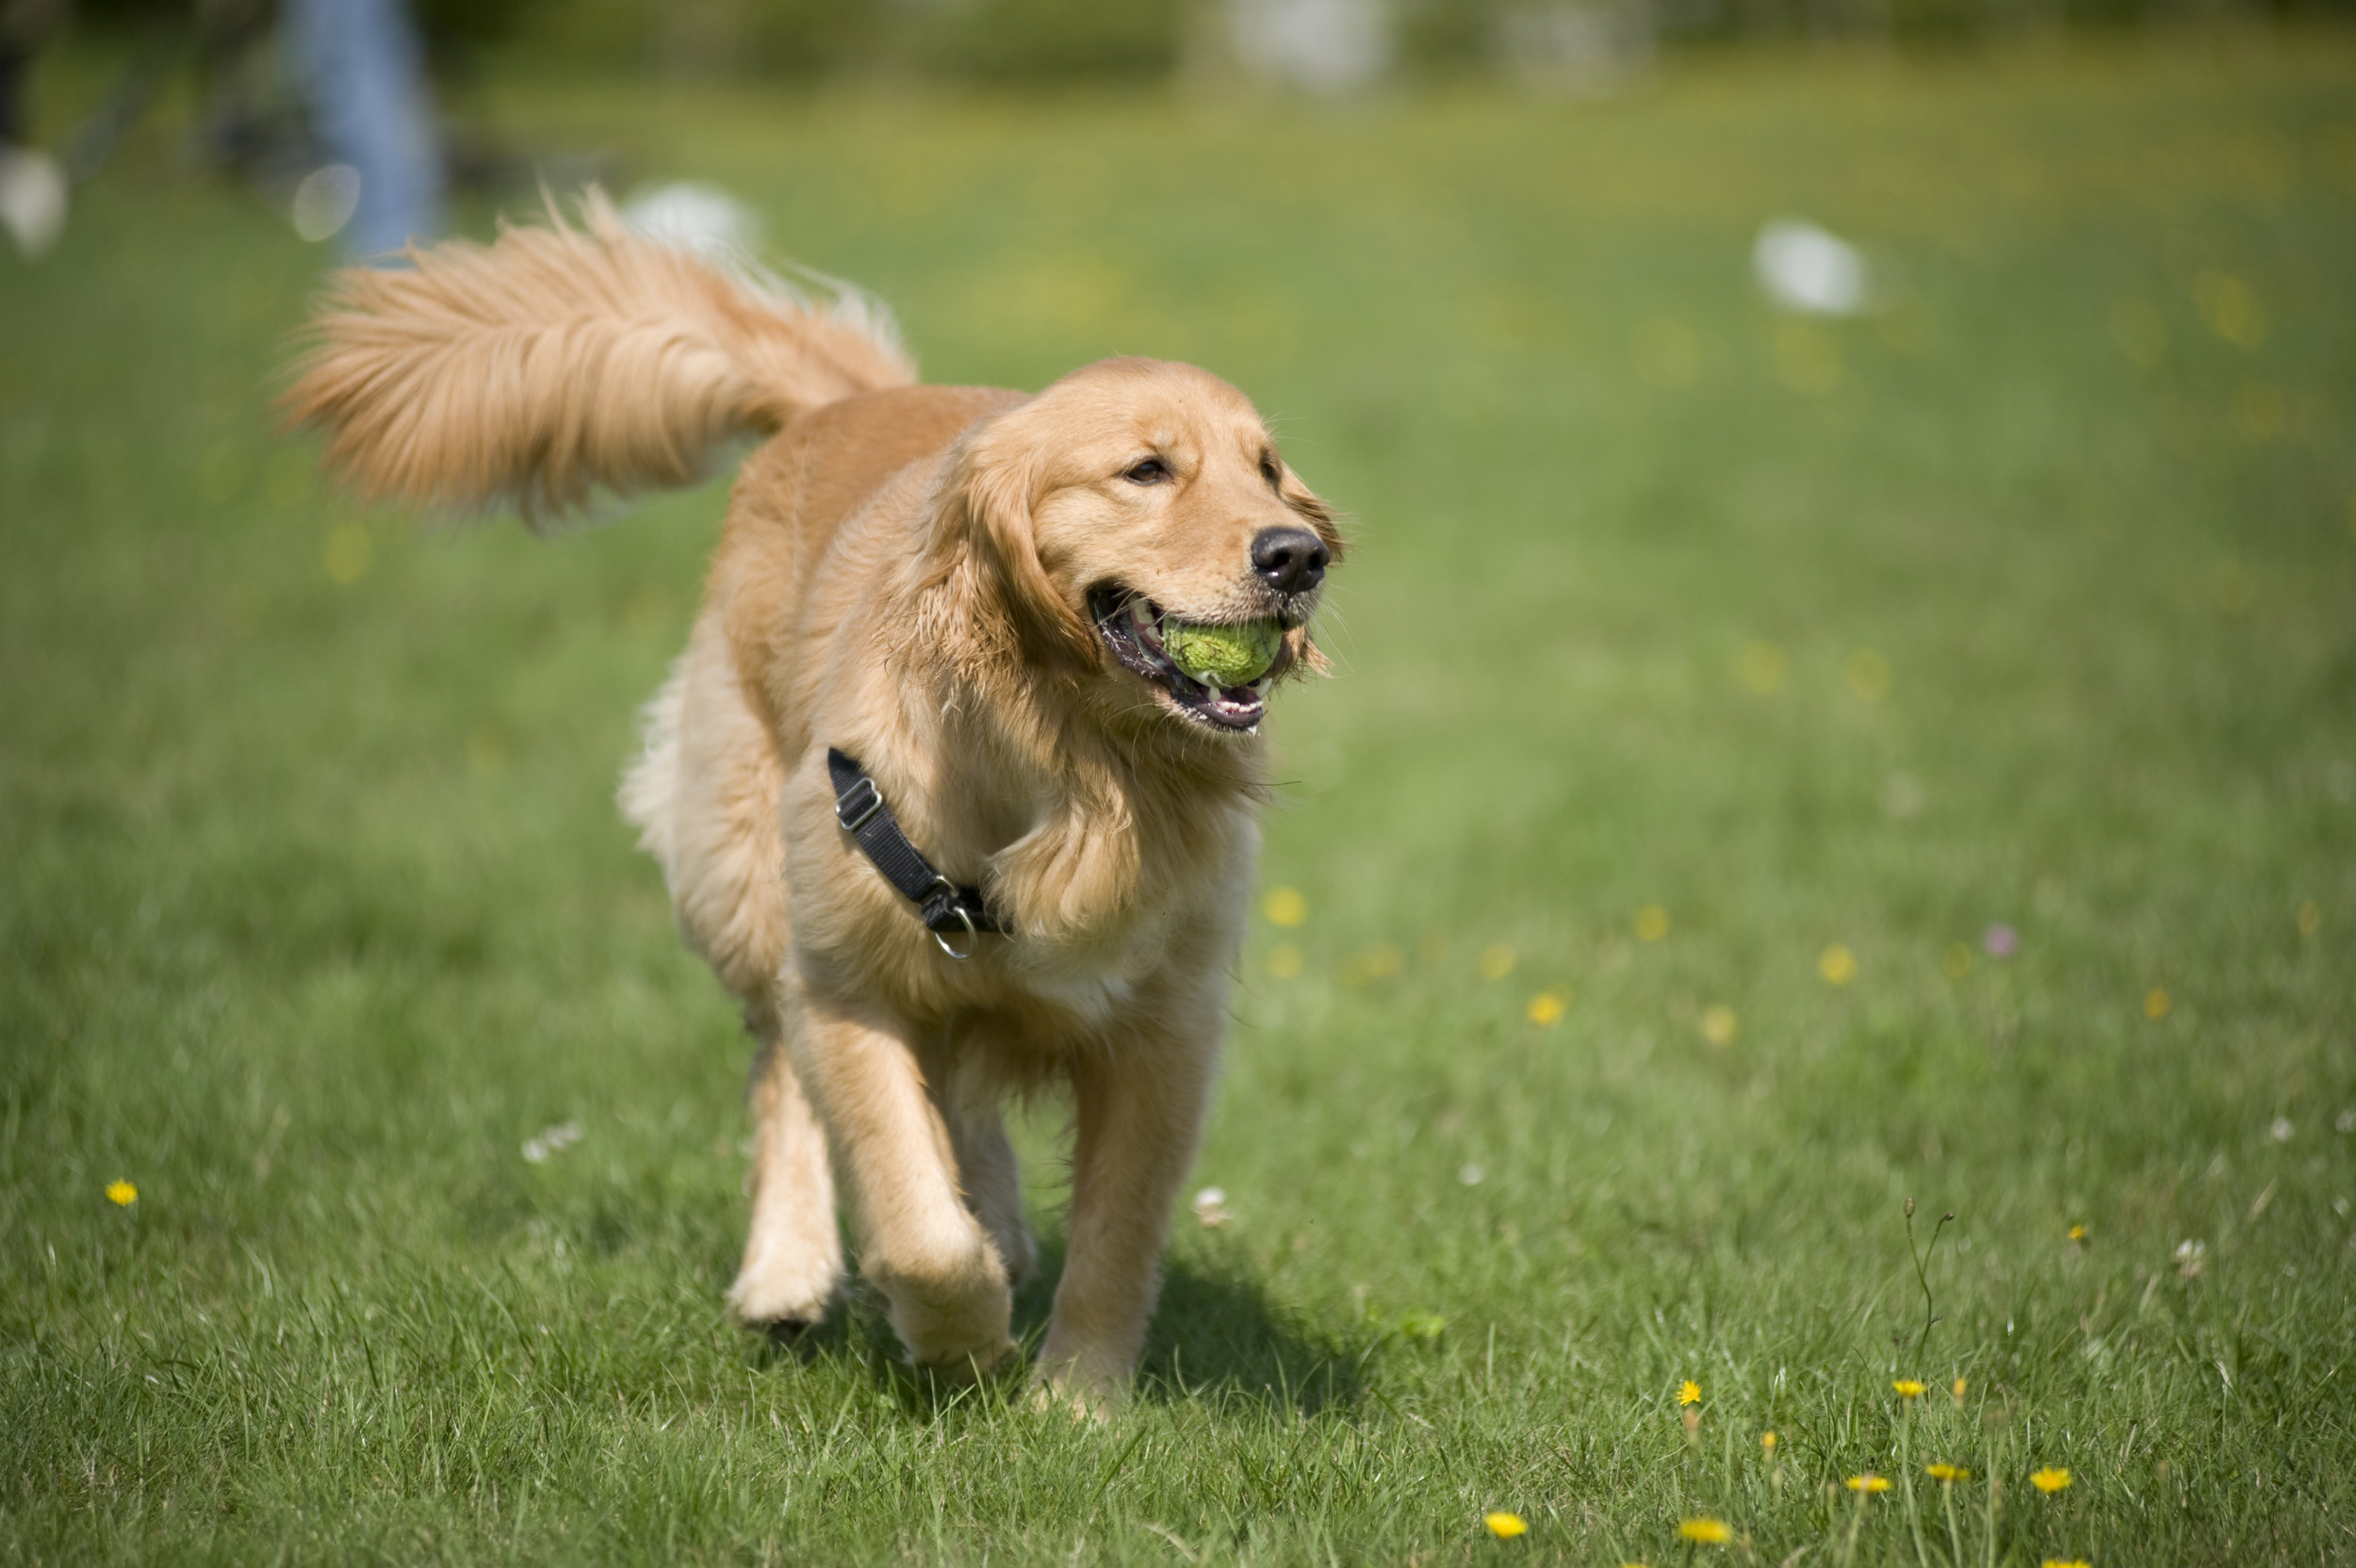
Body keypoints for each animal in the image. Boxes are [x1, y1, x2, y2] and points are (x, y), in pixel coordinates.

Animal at [280, 195, 1348, 1403]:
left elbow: (1116, 1235)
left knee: (960, 1096)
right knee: (779, 1066)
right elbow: (910, 1212)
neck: (1068, 762)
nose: (1299, 553)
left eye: (1267, 468)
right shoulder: (850, 977)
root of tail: (844, 399)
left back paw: (998, 1222)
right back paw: (788, 1271)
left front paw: (1077, 1400)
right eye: (1146, 469)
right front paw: (959, 1339)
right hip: (746, 870)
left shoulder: (1166, 1024)